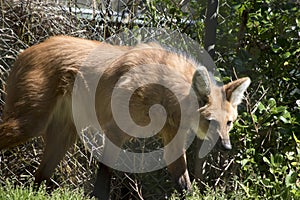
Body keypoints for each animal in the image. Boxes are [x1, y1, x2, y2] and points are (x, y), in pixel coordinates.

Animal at [0, 35, 251, 198]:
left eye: (228, 123)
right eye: (211, 122)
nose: (226, 147)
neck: (166, 95)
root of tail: (27, 51)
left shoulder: (172, 137)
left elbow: (183, 181)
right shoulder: (114, 131)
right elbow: (103, 181)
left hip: (63, 134)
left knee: (40, 176)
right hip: (28, 124)